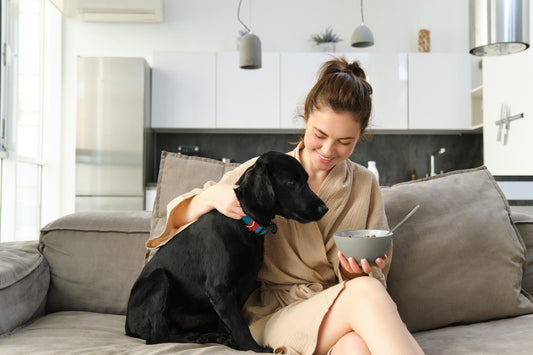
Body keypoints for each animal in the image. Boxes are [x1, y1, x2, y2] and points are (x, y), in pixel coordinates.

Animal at [124, 152, 326, 354]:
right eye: (291, 183)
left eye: (307, 180)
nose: (325, 209)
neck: (243, 222)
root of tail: (128, 327)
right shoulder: (220, 289)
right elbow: (240, 326)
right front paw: (255, 348)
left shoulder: (241, 288)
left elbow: (230, 323)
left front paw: (230, 342)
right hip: (160, 278)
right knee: (156, 337)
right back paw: (194, 337)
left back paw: (210, 336)